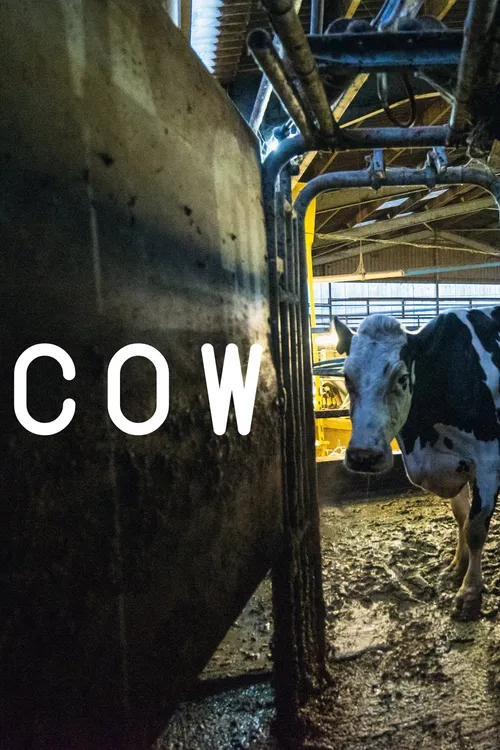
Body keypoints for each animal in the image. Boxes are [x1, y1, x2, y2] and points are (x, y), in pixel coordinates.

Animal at [334, 308, 500, 620]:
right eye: (347, 378)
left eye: (401, 378)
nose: (364, 456)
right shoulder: (458, 463)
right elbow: (461, 517)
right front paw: (458, 566)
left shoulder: (488, 461)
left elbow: (475, 528)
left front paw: (470, 594)